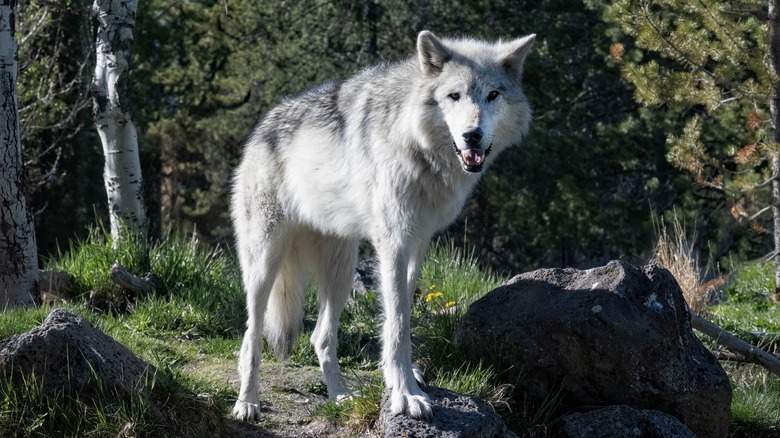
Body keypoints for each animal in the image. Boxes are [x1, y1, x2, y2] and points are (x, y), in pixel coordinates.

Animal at [231, 30, 535, 421]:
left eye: (493, 95)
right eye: (454, 96)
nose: (473, 135)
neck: (419, 148)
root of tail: (262, 126)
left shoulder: (418, 242)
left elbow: (399, 315)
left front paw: (400, 378)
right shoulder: (393, 242)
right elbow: (398, 322)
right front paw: (406, 395)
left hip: (341, 273)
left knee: (320, 337)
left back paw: (341, 397)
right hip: (265, 263)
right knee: (250, 337)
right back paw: (247, 402)